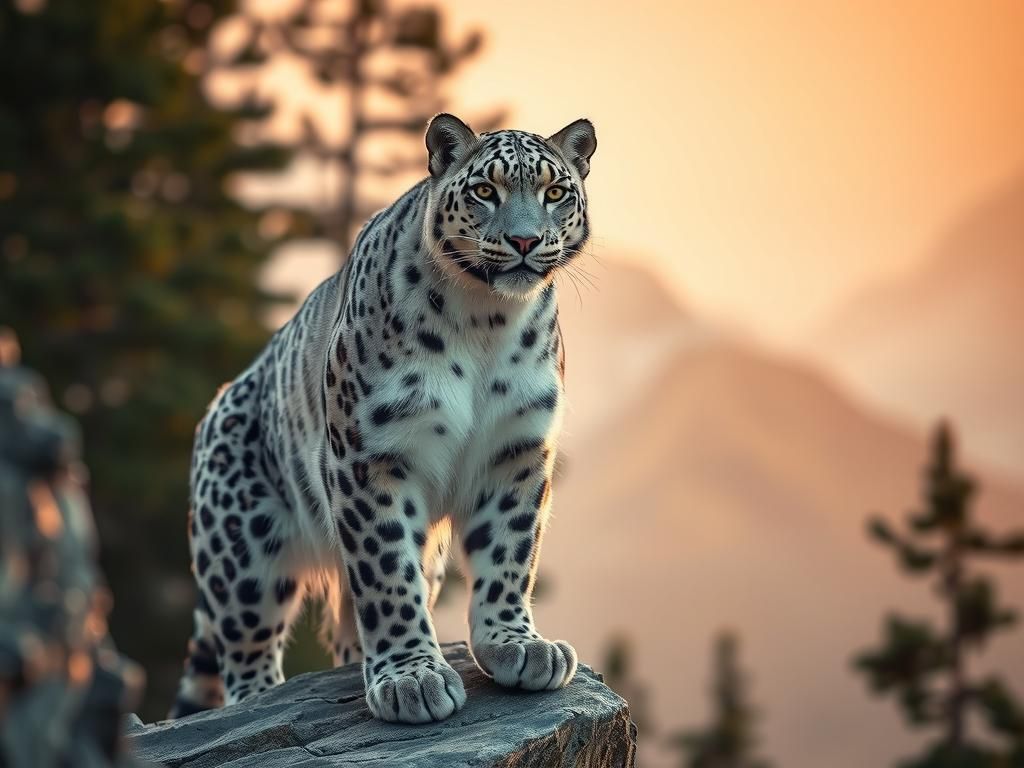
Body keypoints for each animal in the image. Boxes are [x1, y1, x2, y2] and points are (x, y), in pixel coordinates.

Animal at [169, 113, 597, 724]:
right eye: (484, 191)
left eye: (555, 192)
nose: (525, 240)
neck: (488, 321)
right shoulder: (371, 457)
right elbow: (387, 573)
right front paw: (411, 679)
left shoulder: (516, 450)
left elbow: (509, 553)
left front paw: (516, 645)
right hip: (242, 546)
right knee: (246, 647)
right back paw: (261, 698)